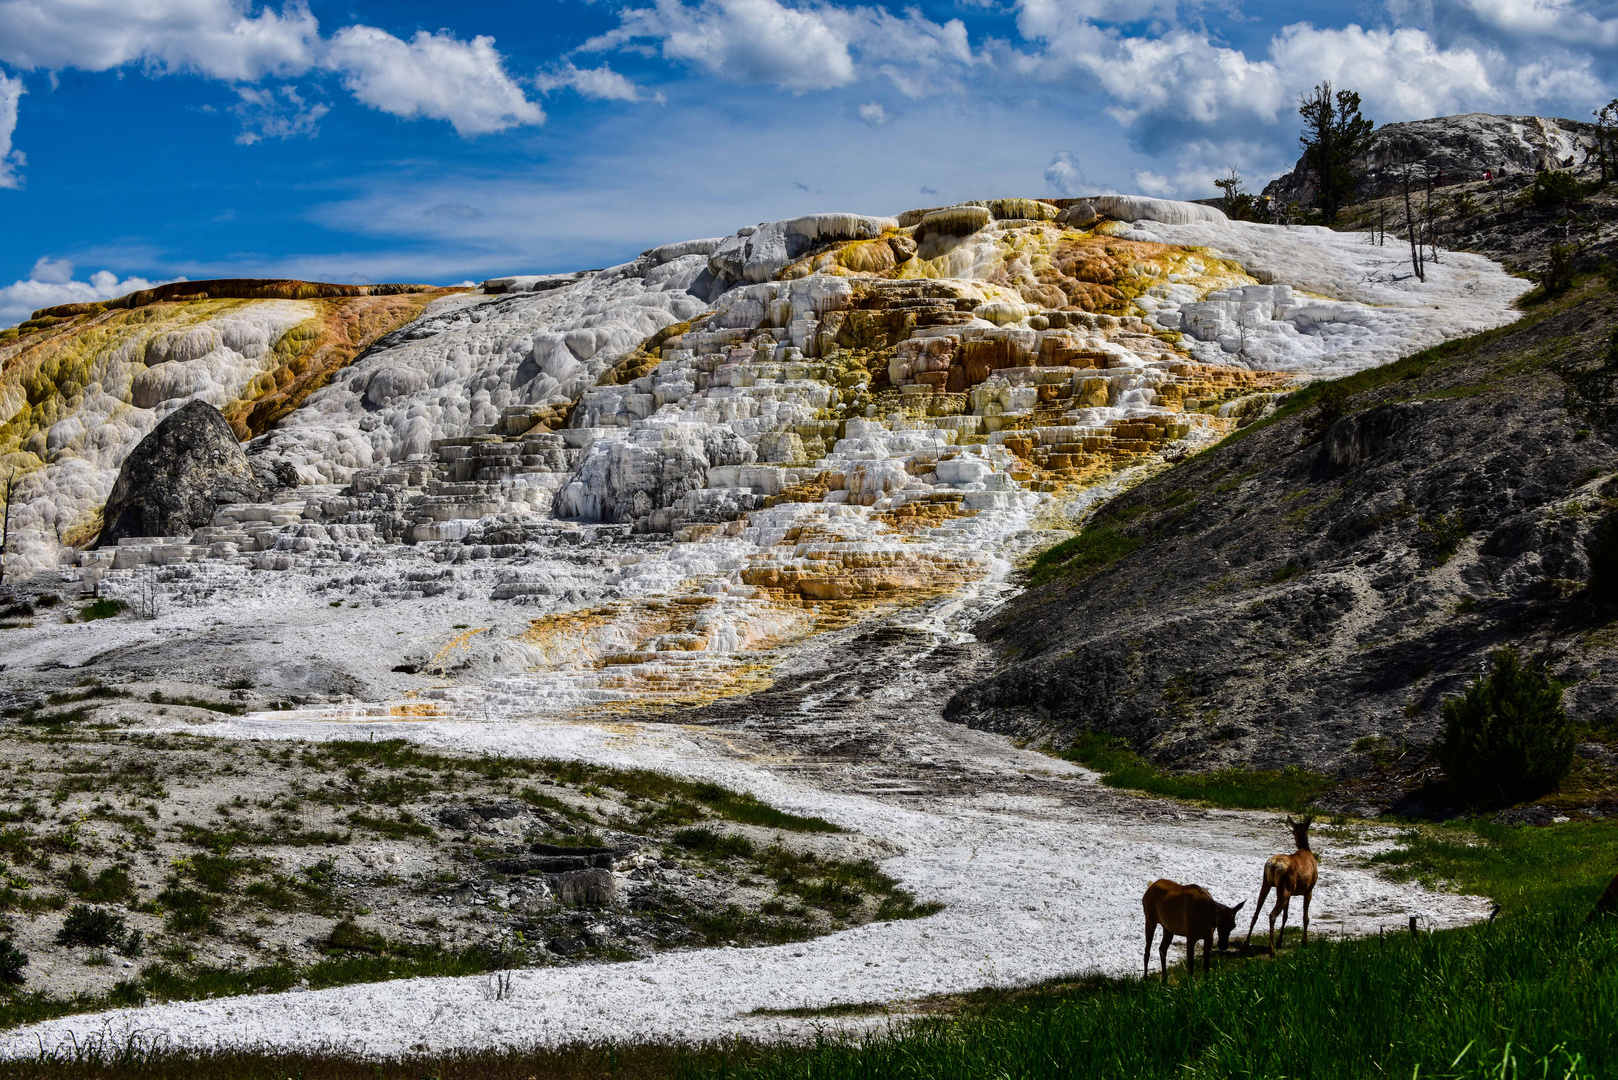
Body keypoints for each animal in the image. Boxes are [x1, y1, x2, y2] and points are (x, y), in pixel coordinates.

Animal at [1242, 816, 1320, 958]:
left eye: (1293, 830)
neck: (1306, 850)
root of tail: (1274, 865)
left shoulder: (1291, 893)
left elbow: (1285, 916)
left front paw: (1280, 942)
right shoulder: (1309, 889)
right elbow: (1305, 917)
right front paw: (1304, 943)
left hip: (1268, 884)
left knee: (1256, 913)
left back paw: (1246, 945)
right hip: (1284, 888)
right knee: (1272, 915)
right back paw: (1271, 950)